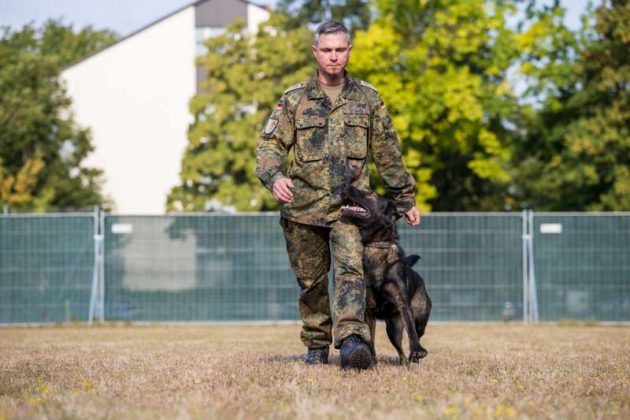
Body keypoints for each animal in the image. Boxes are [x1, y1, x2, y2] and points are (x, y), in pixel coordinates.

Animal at [344, 185, 432, 362]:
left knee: (417, 332)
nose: (345, 184)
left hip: (418, 320)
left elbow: (411, 330)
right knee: (400, 350)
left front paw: (417, 349)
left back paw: (414, 357)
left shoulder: (402, 302)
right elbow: (369, 338)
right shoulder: (368, 310)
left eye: (371, 193)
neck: (377, 244)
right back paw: (404, 362)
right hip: (392, 330)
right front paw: (371, 360)